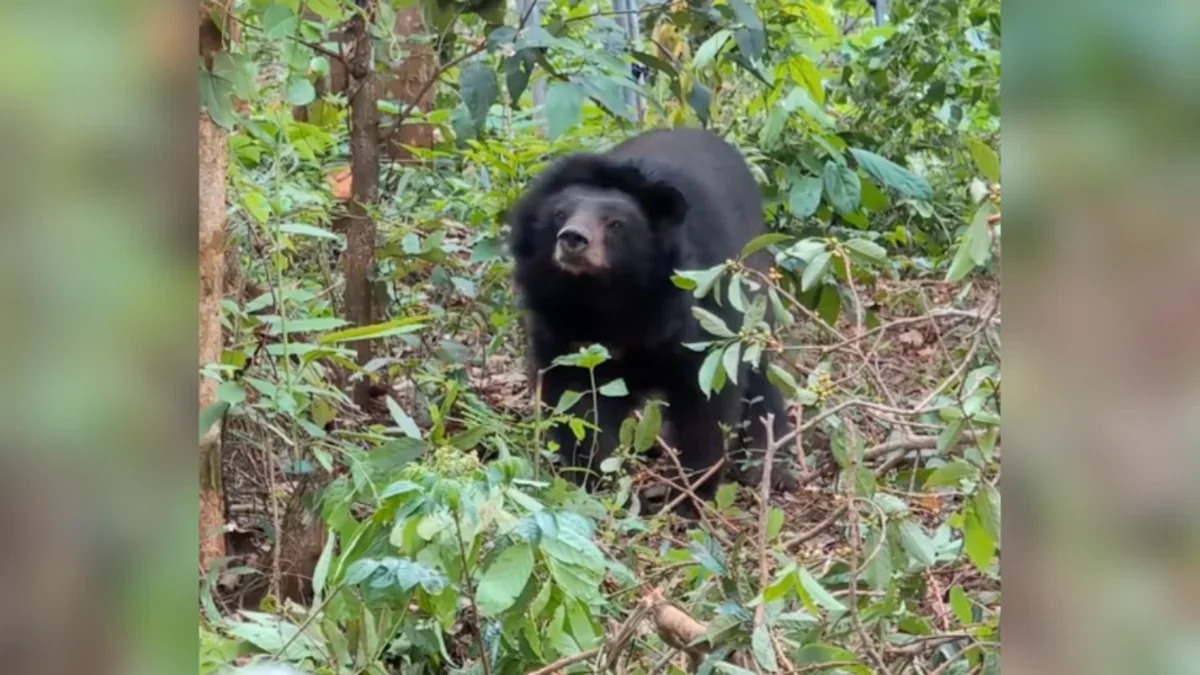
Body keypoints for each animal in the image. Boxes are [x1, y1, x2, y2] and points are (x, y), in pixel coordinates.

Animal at [508, 128, 797, 504]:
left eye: (615, 223)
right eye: (559, 214)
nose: (572, 239)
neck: (605, 297)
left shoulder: (698, 306)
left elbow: (707, 401)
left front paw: (690, 496)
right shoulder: (561, 326)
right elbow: (578, 402)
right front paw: (600, 483)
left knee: (758, 369)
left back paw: (769, 468)